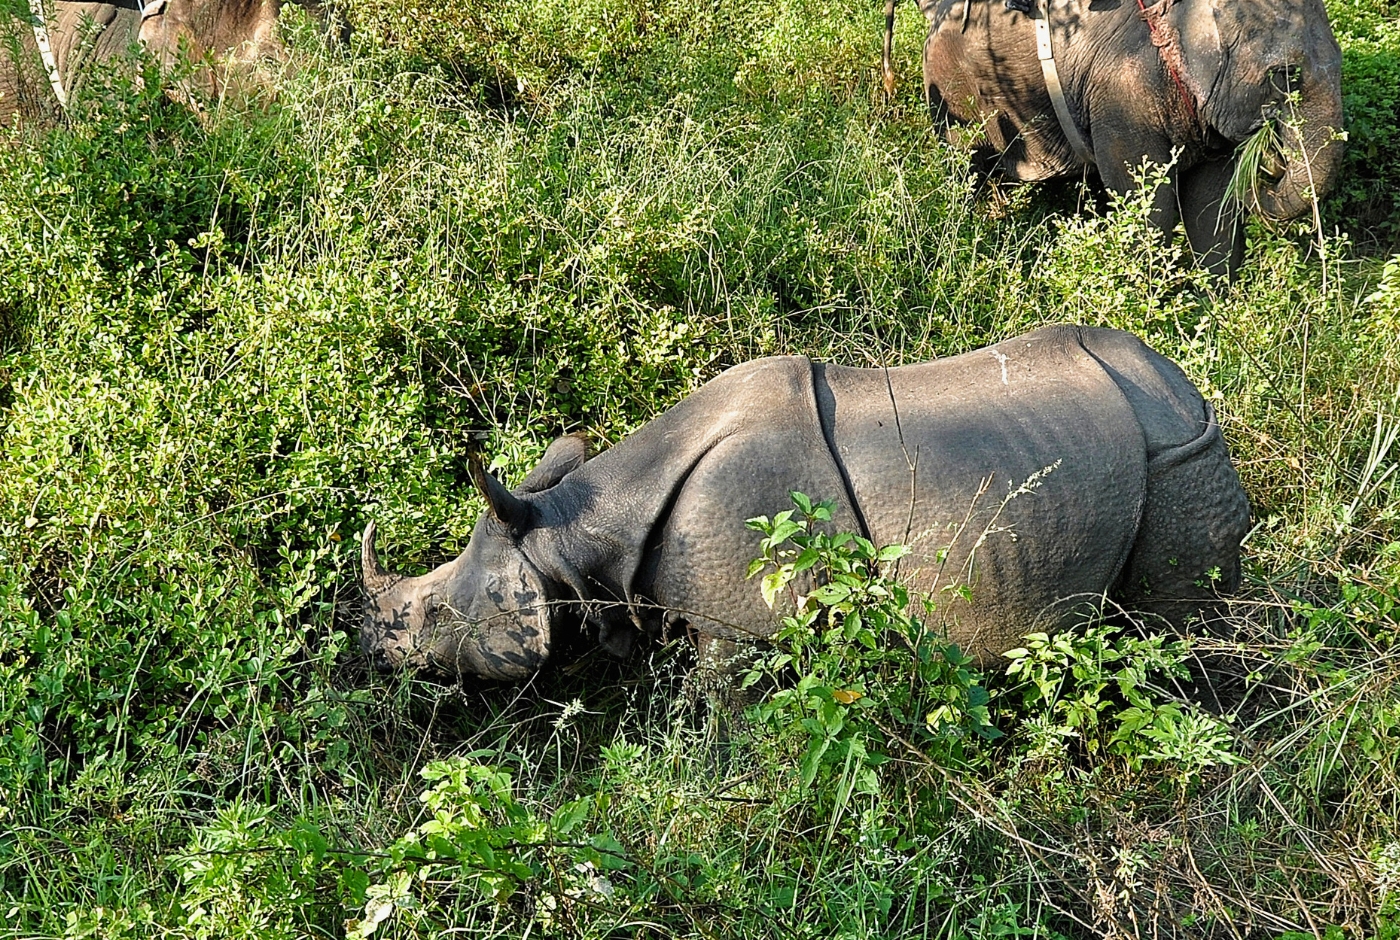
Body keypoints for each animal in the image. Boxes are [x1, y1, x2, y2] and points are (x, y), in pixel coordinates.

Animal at [358, 327, 1248, 686]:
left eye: (434, 615)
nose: (370, 649)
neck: (575, 528)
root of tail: (1184, 387)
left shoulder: (741, 616)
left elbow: (723, 708)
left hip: (1178, 461)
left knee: (1172, 639)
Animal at [884, 0, 1344, 277]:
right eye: (1284, 75)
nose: (1271, 164)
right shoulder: (1121, 96)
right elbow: (1148, 204)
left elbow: (1211, 204)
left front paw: (1214, 310)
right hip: (952, 89)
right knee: (964, 168)